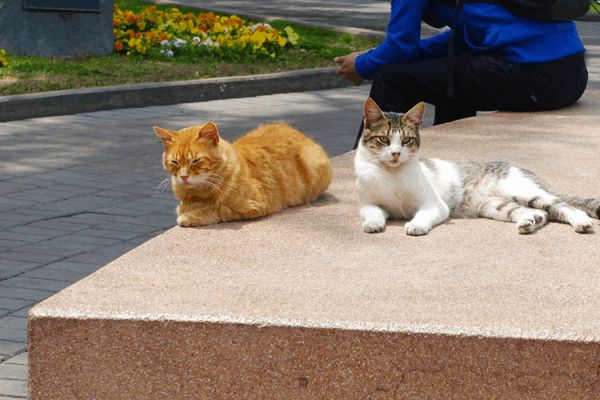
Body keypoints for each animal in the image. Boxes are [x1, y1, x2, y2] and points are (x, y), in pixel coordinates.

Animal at [154, 120, 332, 227]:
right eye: (175, 163)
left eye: (196, 161)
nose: (183, 177)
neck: (199, 193)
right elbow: (186, 207)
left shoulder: (253, 206)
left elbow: (217, 209)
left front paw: (189, 216)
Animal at [356, 99, 600, 236]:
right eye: (384, 140)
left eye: (406, 140)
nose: (396, 154)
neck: (392, 174)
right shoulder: (369, 203)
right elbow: (373, 212)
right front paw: (373, 223)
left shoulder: (434, 204)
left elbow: (423, 215)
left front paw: (416, 225)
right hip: (495, 206)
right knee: (540, 212)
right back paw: (529, 222)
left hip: (524, 191)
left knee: (563, 206)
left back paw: (582, 222)